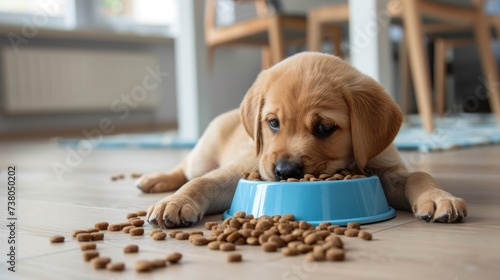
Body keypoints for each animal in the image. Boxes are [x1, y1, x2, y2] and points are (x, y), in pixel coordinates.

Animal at [138, 52, 468, 228]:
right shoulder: (245, 167)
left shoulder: (386, 171)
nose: (285, 172)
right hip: (203, 153)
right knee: (186, 169)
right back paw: (155, 180)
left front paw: (438, 197)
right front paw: (176, 202)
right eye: (273, 123)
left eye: (324, 128)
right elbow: (203, 182)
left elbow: (419, 175)